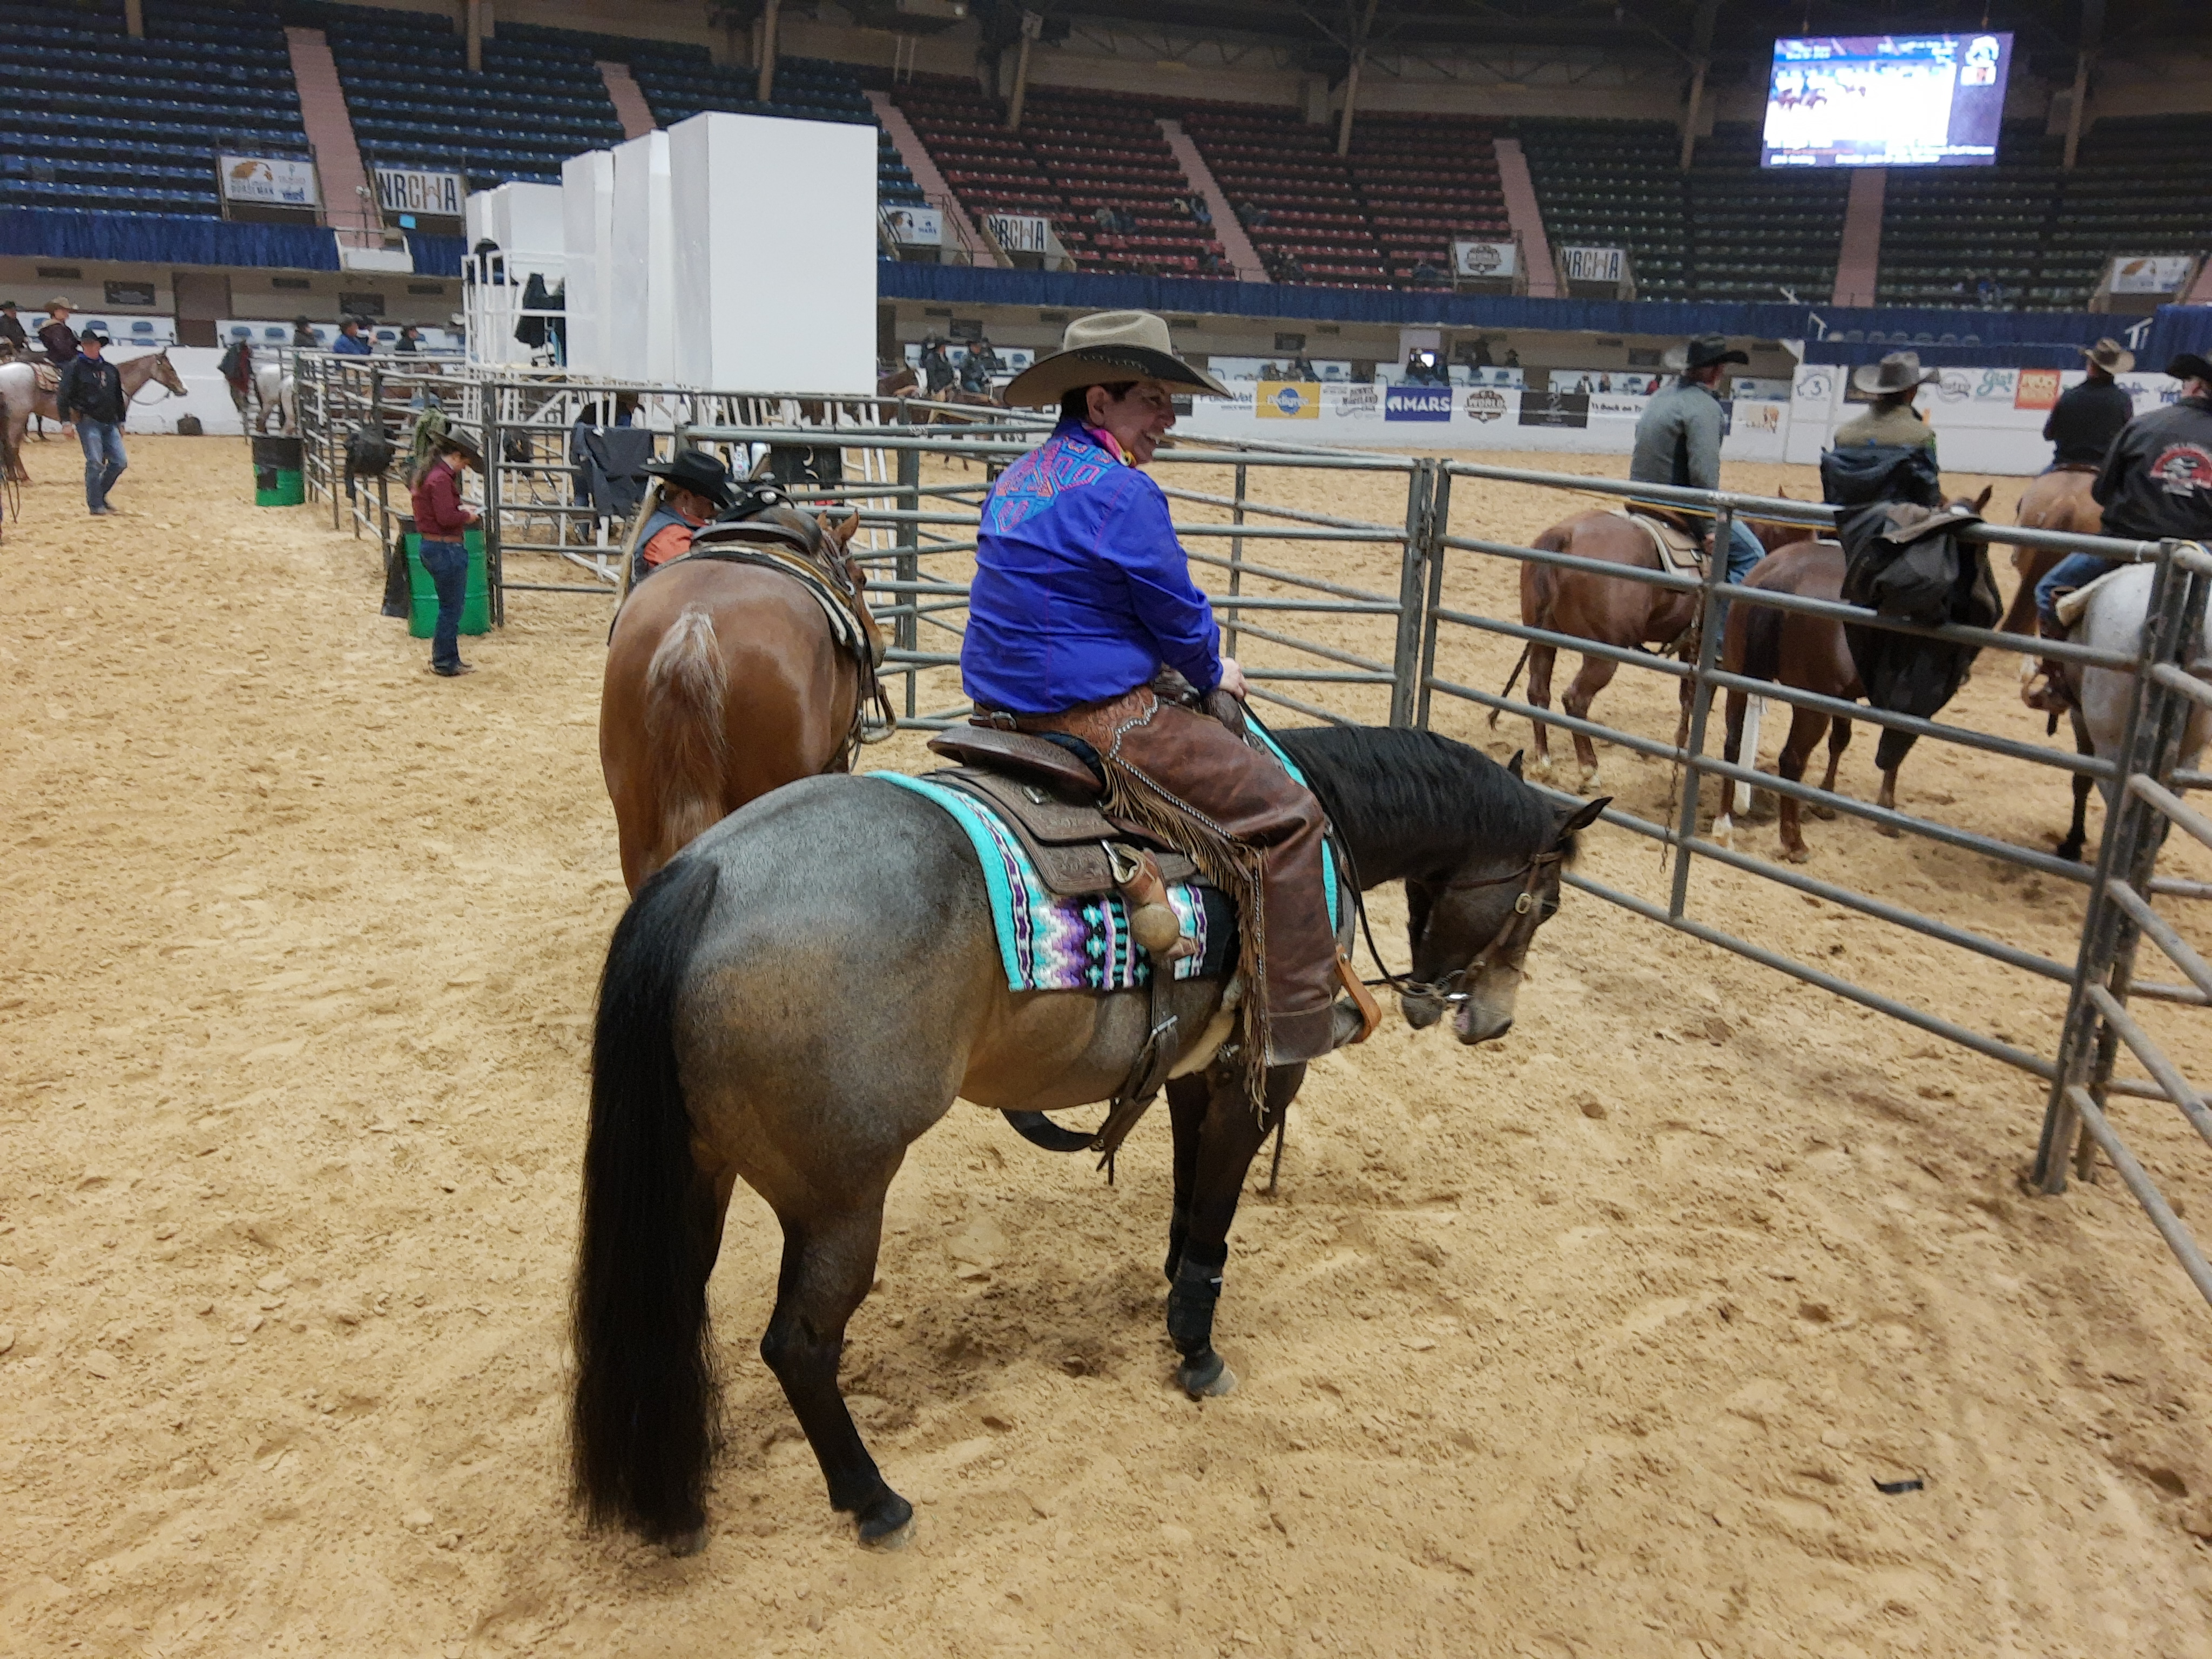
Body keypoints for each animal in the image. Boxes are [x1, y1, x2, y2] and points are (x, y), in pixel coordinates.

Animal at [570, 725, 1610, 1557]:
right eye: (1549, 901)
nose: (1491, 1022)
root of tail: (706, 876)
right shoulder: (1263, 1074)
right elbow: (1218, 1210)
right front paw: (1197, 1351)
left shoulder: (1195, 1068)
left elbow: (1191, 1198)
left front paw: (1173, 1295)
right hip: (841, 1198)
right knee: (800, 1345)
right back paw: (874, 1500)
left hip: (699, 1177)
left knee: (669, 1313)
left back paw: (678, 1499)